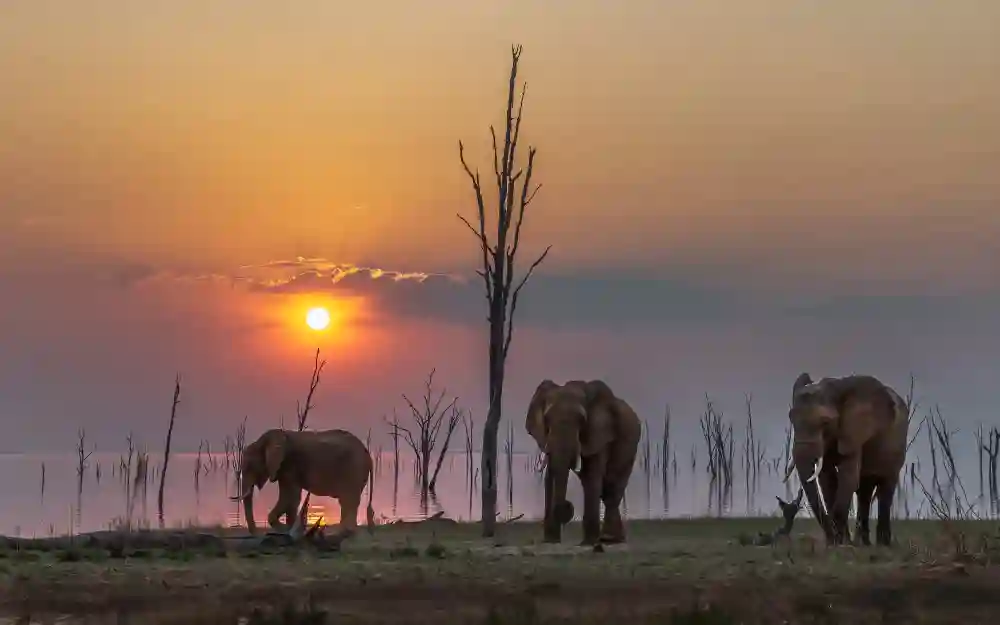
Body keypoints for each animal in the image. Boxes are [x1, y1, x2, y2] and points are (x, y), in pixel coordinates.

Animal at [229, 426, 376, 540]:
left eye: (250, 466)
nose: (258, 535)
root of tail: (368, 453)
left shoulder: (289, 464)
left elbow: (289, 496)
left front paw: (286, 530)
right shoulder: (284, 469)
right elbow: (292, 498)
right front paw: (289, 530)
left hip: (353, 469)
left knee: (348, 500)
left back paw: (340, 534)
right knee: (348, 502)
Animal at [524, 378, 640, 544]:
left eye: (582, 420)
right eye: (546, 419)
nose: (567, 508)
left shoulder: (600, 433)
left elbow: (592, 475)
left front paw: (589, 543)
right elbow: (550, 475)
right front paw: (551, 541)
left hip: (631, 447)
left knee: (612, 488)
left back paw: (610, 539)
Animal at [784, 372, 912, 544]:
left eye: (825, 422)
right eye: (791, 419)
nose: (830, 538)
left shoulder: (855, 432)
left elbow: (848, 477)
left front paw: (841, 542)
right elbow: (828, 481)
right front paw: (839, 542)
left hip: (897, 446)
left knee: (886, 487)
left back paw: (882, 544)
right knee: (864, 490)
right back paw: (863, 543)